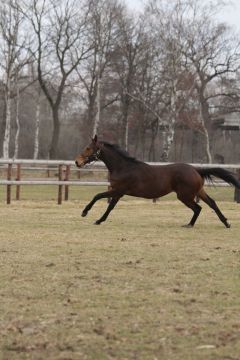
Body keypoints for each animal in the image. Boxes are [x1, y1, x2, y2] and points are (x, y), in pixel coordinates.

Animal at [75, 136, 240, 228]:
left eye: (88, 148)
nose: (77, 162)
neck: (123, 167)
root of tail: (196, 170)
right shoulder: (118, 193)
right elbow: (110, 207)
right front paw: (99, 220)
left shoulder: (118, 190)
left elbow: (97, 196)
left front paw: (85, 212)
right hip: (198, 191)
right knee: (212, 203)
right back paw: (226, 223)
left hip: (185, 196)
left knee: (198, 208)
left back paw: (189, 225)